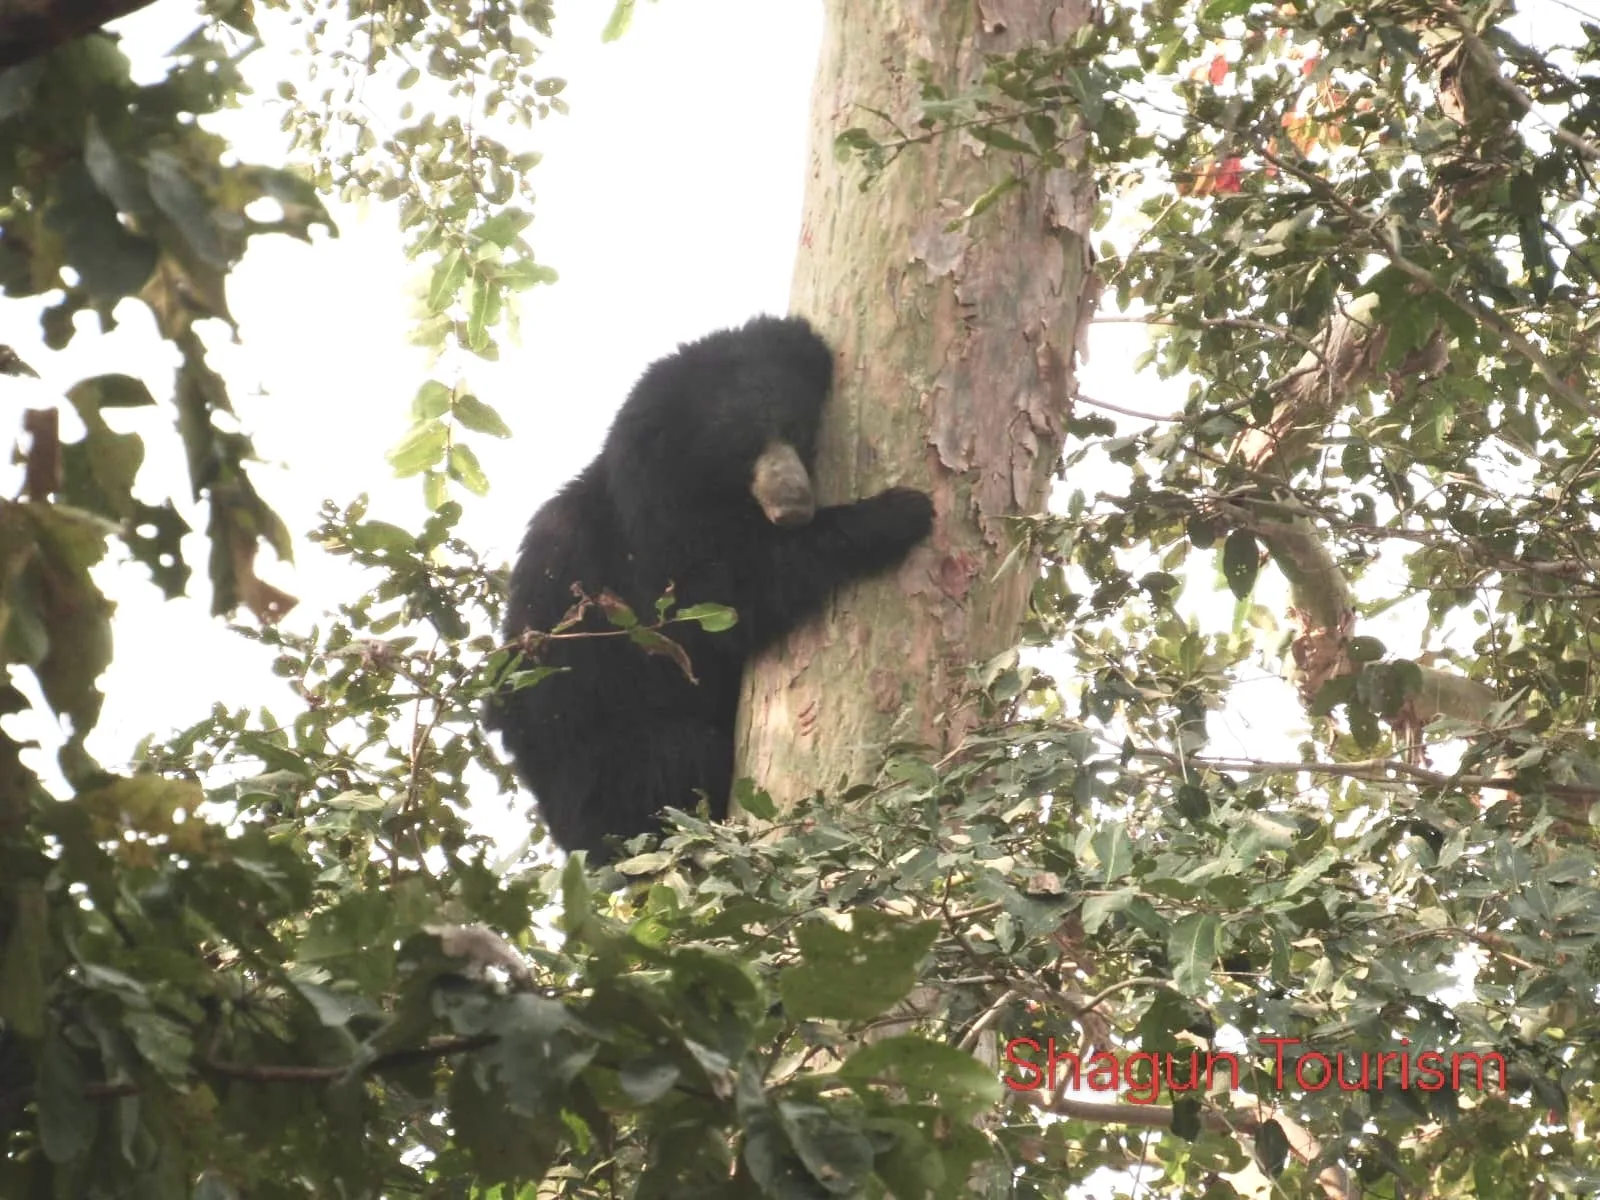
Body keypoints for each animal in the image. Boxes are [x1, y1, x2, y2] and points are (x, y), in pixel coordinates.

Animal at [488, 314, 934, 862]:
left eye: (795, 431)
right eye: (741, 450)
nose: (794, 507)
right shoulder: (647, 549)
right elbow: (723, 598)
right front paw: (902, 512)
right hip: (602, 765)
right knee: (679, 755)